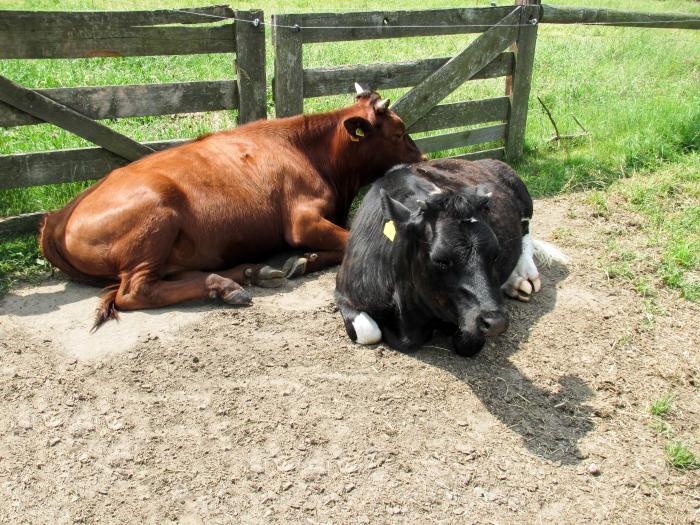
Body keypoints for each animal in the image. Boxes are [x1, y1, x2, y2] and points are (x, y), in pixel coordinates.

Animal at [41, 88, 424, 330]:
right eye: (399, 132)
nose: (422, 160)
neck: (310, 152)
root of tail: (57, 217)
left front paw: (303, 261)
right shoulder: (301, 221)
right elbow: (347, 240)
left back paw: (249, 272)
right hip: (156, 219)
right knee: (136, 291)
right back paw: (225, 286)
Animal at [334, 160, 568, 356]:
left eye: (495, 254)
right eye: (440, 260)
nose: (496, 322)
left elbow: (468, 341)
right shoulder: (344, 291)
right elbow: (368, 332)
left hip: (523, 196)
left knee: (526, 232)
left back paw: (524, 276)